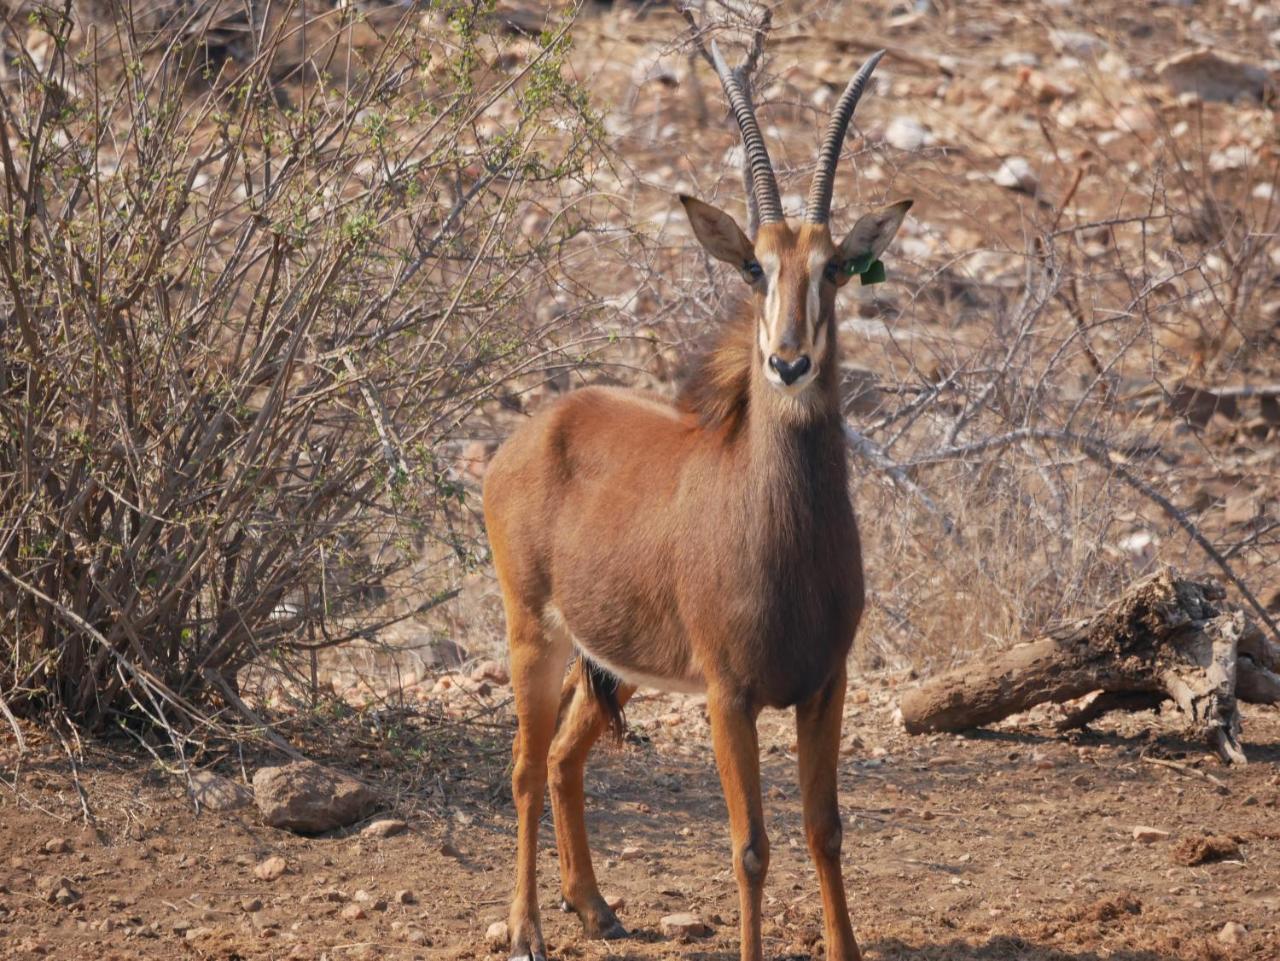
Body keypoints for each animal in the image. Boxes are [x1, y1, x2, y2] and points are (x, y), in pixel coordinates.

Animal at [481, 47, 911, 961]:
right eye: (755, 266)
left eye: (833, 267)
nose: (788, 363)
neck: (787, 534)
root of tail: (533, 432)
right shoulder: (730, 695)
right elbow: (750, 844)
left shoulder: (826, 684)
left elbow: (825, 829)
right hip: (534, 633)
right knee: (527, 768)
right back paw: (528, 927)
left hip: (610, 657)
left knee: (565, 759)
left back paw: (595, 906)